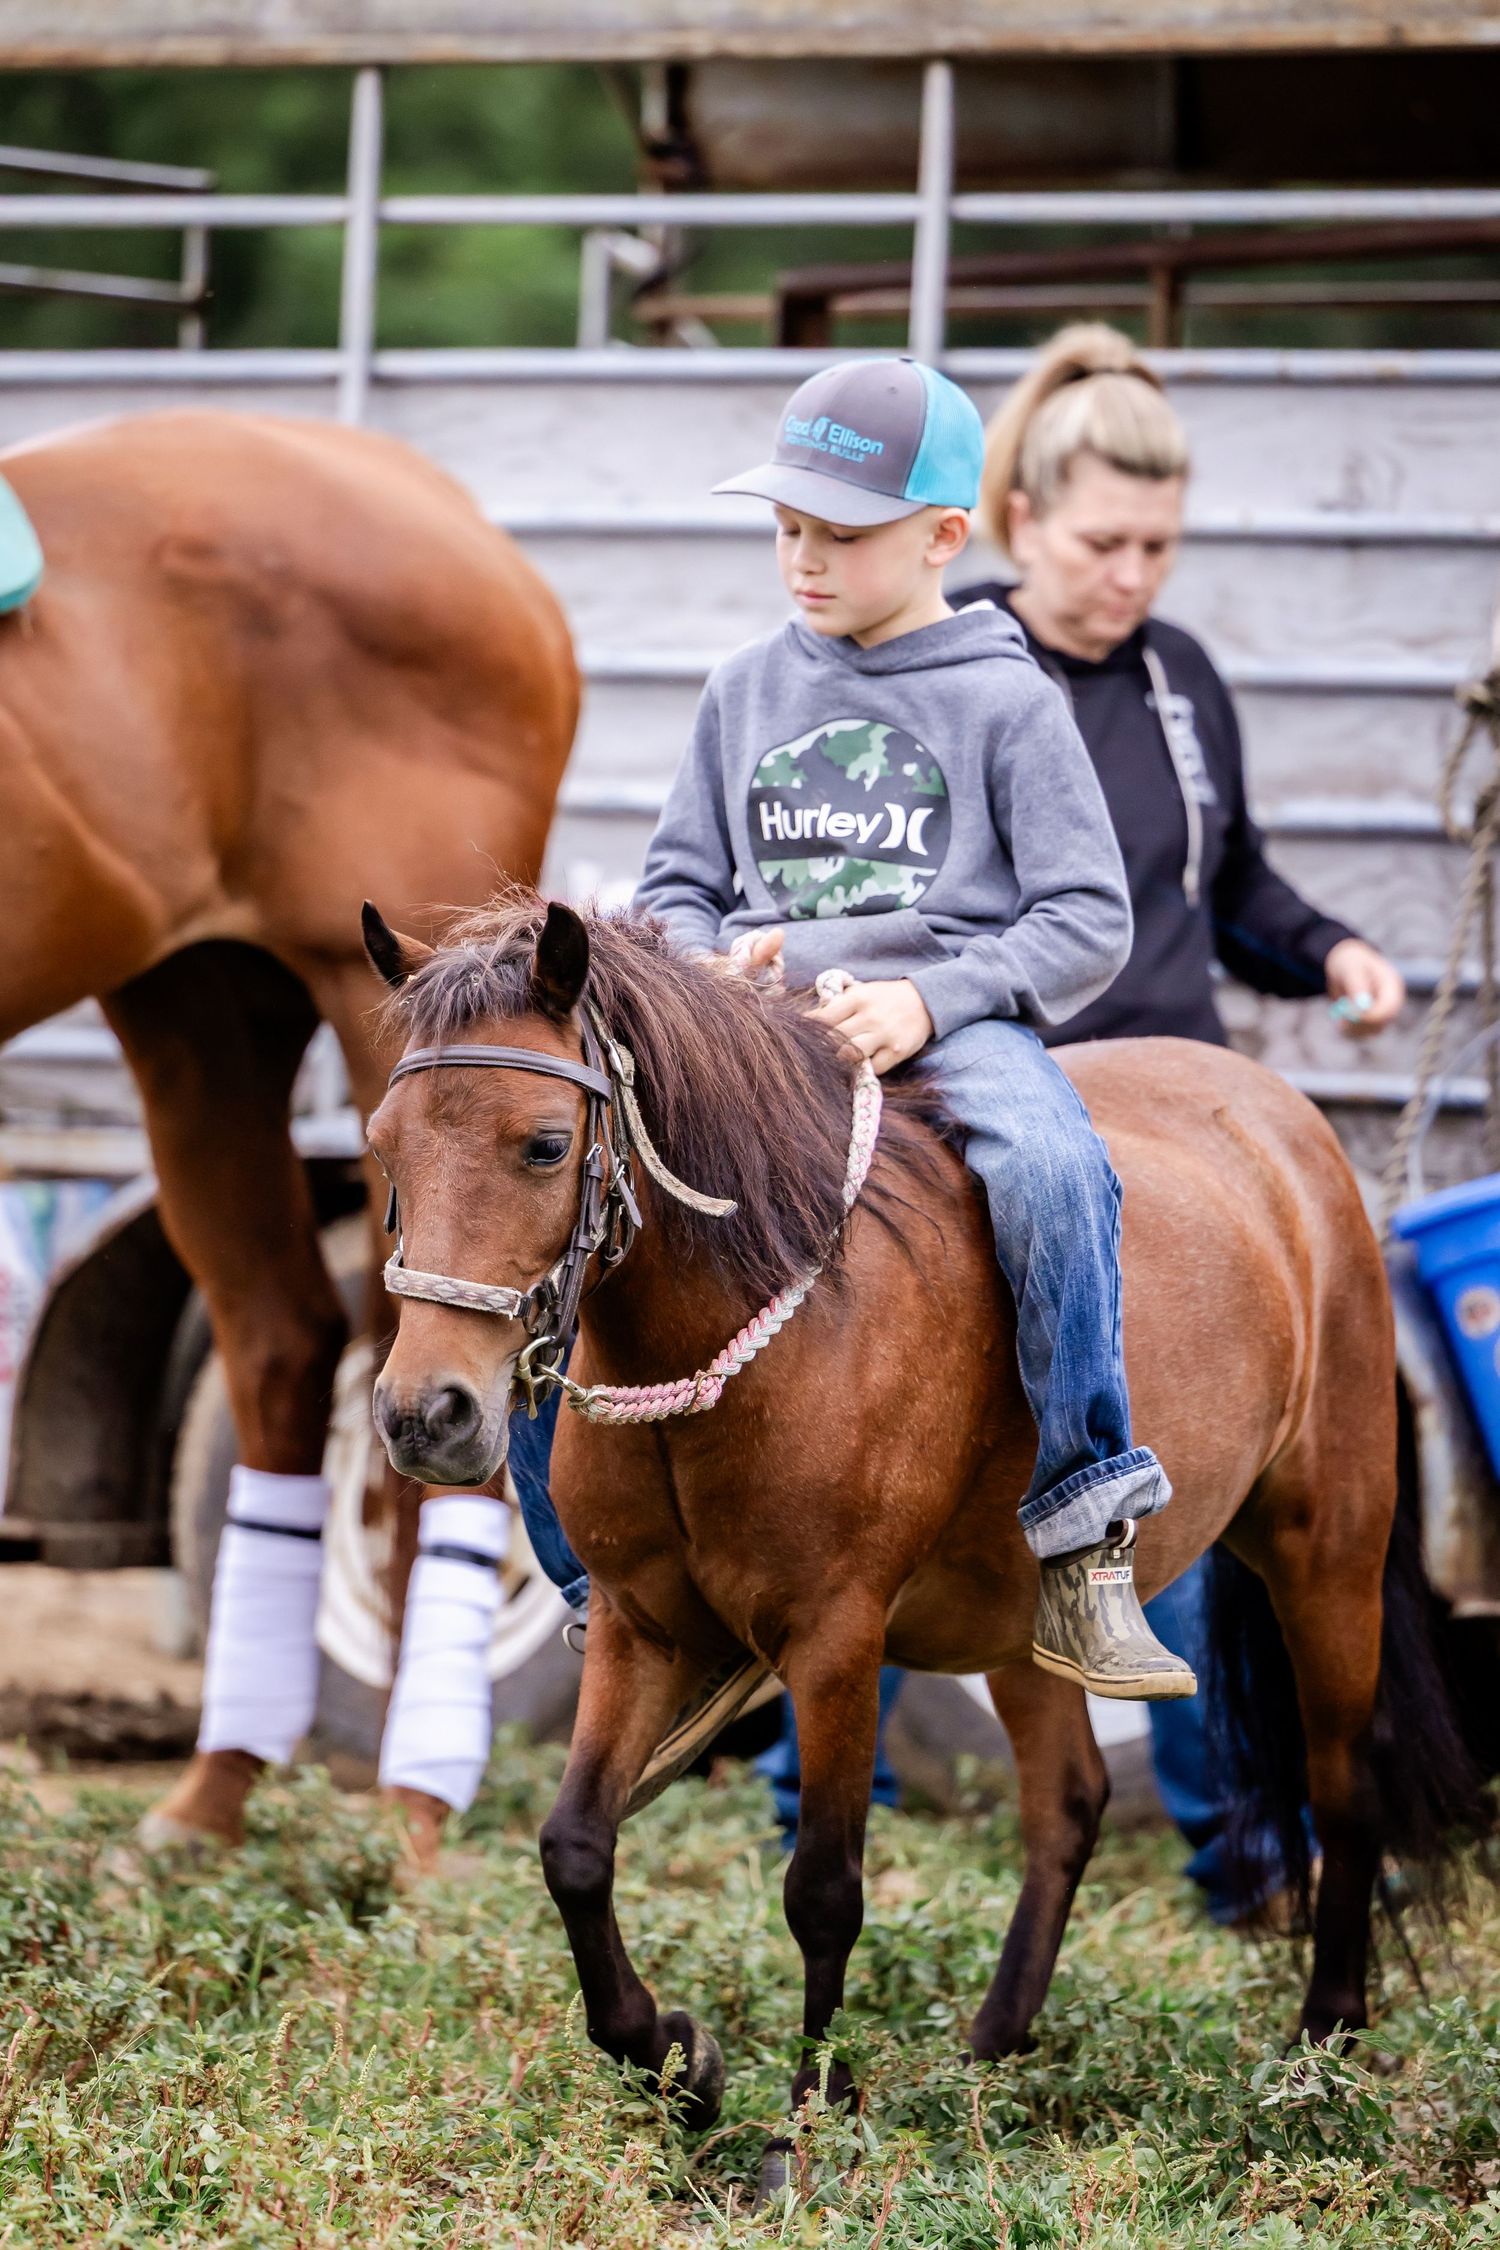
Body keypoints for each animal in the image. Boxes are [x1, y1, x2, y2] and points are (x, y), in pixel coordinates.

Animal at [363, 887, 1481, 2161]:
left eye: (545, 1144)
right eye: (385, 1147)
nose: (426, 1415)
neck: (756, 1329)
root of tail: (1283, 1116)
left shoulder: (837, 1641)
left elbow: (822, 1889)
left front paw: (805, 2132)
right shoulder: (641, 1630)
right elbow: (575, 1848)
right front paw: (680, 2063)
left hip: (1327, 1546)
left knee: (1344, 1783)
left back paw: (1322, 2054)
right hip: (1025, 1618)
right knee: (1069, 1804)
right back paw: (990, 2051)